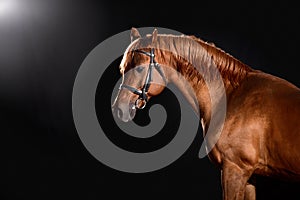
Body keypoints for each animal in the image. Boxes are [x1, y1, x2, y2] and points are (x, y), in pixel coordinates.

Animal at [112, 27, 300, 199]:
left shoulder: (234, 170)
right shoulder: (250, 177)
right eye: (122, 69)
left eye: (138, 69)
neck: (231, 95)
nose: (119, 108)